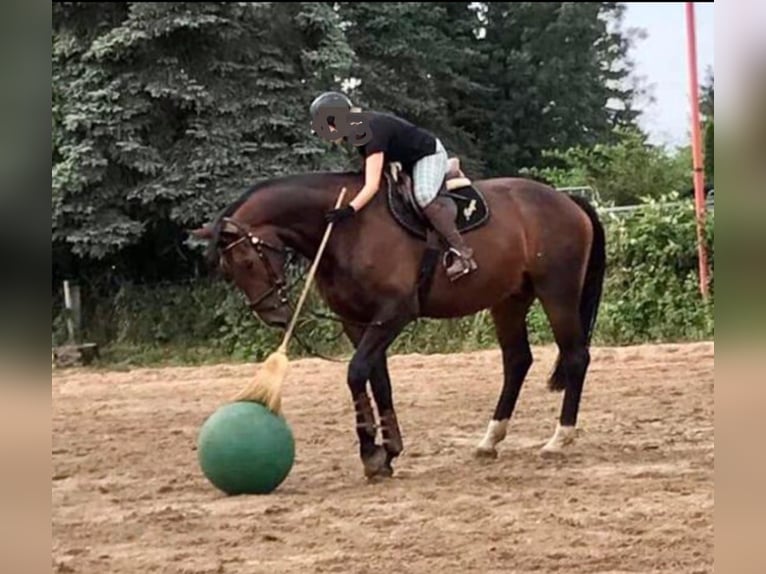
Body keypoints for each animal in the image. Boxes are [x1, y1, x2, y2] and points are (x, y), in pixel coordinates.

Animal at [190, 168, 608, 482]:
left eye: (246, 262)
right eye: (228, 270)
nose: (274, 315)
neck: (345, 228)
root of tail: (567, 201)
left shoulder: (393, 314)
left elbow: (356, 373)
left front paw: (371, 452)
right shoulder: (358, 323)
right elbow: (378, 380)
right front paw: (388, 451)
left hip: (557, 293)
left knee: (575, 357)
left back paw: (559, 439)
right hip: (509, 300)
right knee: (517, 361)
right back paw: (490, 439)